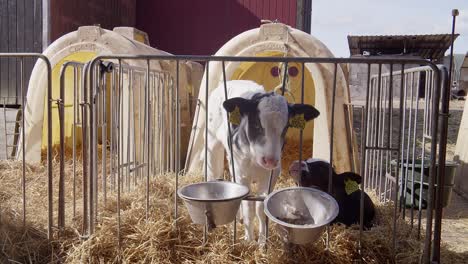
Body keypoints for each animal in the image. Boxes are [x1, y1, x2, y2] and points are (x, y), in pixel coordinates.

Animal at [207, 80, 320, 243]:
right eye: (256, 124)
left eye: (286, 127)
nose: (270, 160)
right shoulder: (243, 175)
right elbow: (248, 208)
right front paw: (249, 240)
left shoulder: (272, 174)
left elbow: (261, 208)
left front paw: (262, 241)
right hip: (212, 142)